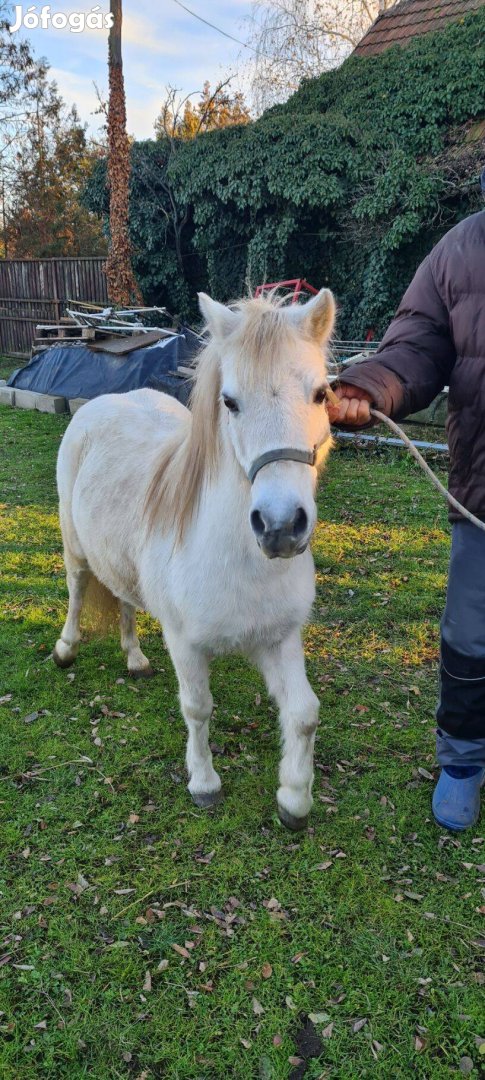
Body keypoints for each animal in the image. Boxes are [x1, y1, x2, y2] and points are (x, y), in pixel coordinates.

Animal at [54, 287, 332, 825]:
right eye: (230, 401)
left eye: (320, 394)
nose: (281, 526)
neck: (240, 562)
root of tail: (106, 400)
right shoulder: (184, 643)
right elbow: (198, 707)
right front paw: (204, 783)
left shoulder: (279, 638)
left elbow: (304, 714)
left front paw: (294, 798)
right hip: (75, 547)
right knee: (78, 590)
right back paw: (65, 649)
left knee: (124, 599)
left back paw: (136, 658)